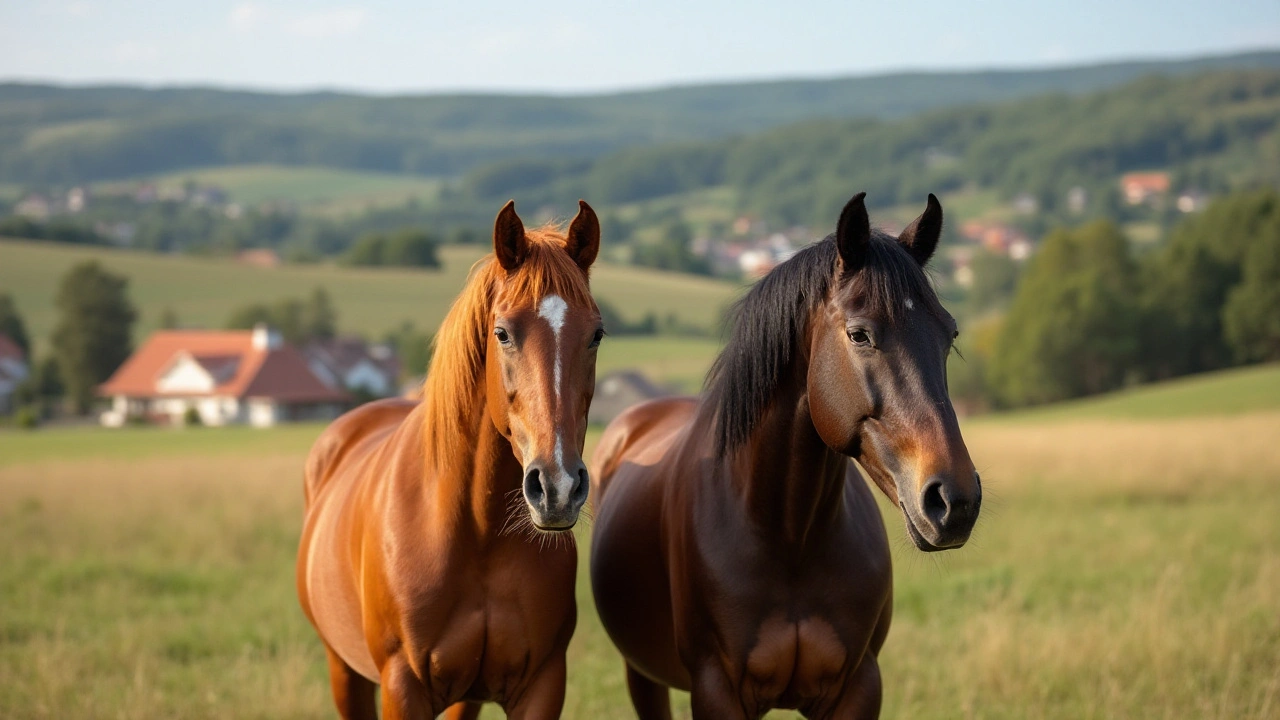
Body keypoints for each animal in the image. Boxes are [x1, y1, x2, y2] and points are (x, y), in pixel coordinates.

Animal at [296, 198, 601, 712]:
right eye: (502, 333)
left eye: (596, 334)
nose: (557, 487)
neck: (475, 534)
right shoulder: (403, 687)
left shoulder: (541, 684)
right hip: (344, 670)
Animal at [588, 192, 977, 717]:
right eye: (859, 334)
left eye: (949, 333)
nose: (954, 501)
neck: (789, 538)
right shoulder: (716, 692)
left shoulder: (858, 687)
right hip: (642, 674)